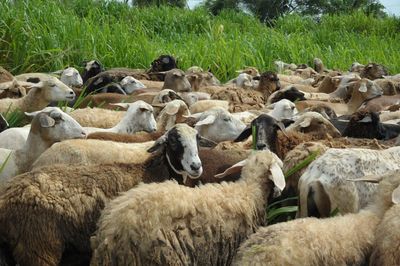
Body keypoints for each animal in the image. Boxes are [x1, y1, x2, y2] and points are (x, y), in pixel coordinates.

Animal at [0, 123, 206, 264]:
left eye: (197, 139)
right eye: (173, 141)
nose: (196, 166)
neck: (152, 171)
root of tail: (7, 196)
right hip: (38, 247)